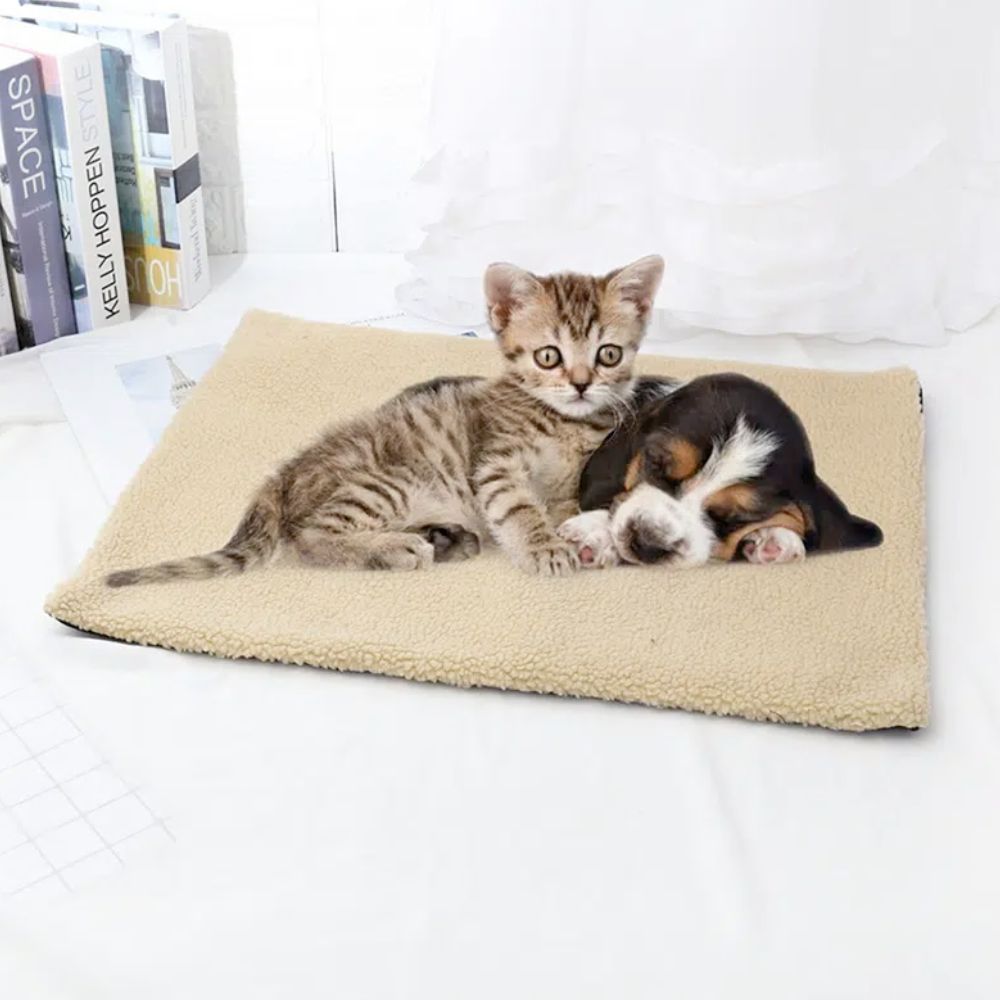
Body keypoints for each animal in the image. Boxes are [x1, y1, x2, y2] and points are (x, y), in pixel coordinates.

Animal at [107, 256, 664, 584]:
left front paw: (590, 536)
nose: (581, 383)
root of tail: (284, 472)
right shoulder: (496, 461)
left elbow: (581, 504)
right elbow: (518, 507)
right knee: (312, 536)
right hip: (386, 481)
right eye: (549, 356)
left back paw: (445, 537)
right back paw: (395, 549)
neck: (562, 422)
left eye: (608, 354)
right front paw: (544, 546)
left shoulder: (578, 477)